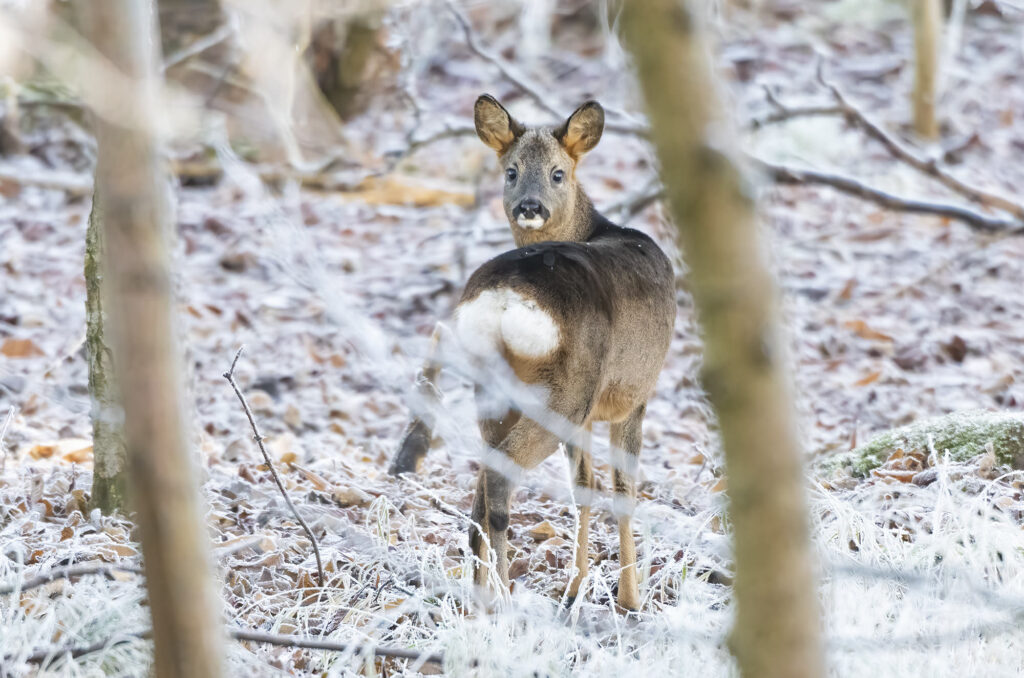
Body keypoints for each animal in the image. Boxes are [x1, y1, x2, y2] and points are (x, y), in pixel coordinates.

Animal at [389, 94, 671, 610]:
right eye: (512, 171)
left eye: (558, 172)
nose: (530, 206)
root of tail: (504, 299)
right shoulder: (634, 396)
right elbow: (621, 489)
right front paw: (628, 599)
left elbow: (585, 486)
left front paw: (577, 588)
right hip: (565, 393)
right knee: (501, 483)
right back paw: (502, 600)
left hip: (499, 392)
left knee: (484, 483)